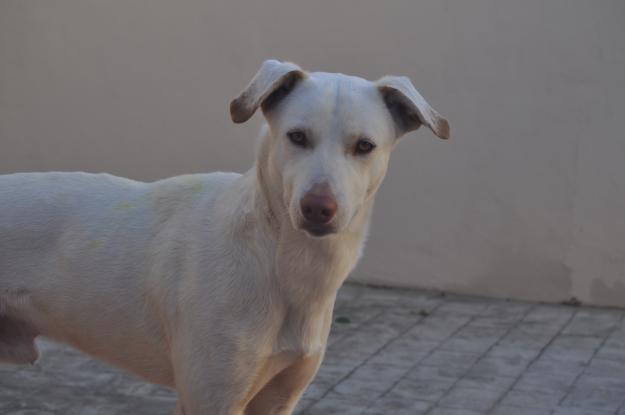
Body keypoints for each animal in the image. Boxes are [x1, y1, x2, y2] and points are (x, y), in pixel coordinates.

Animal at [1, 60, 448, 414]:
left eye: (364, 146)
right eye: (297, 136)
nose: (318, 207)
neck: (277, 263)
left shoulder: (279, 398)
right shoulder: (210, 398)